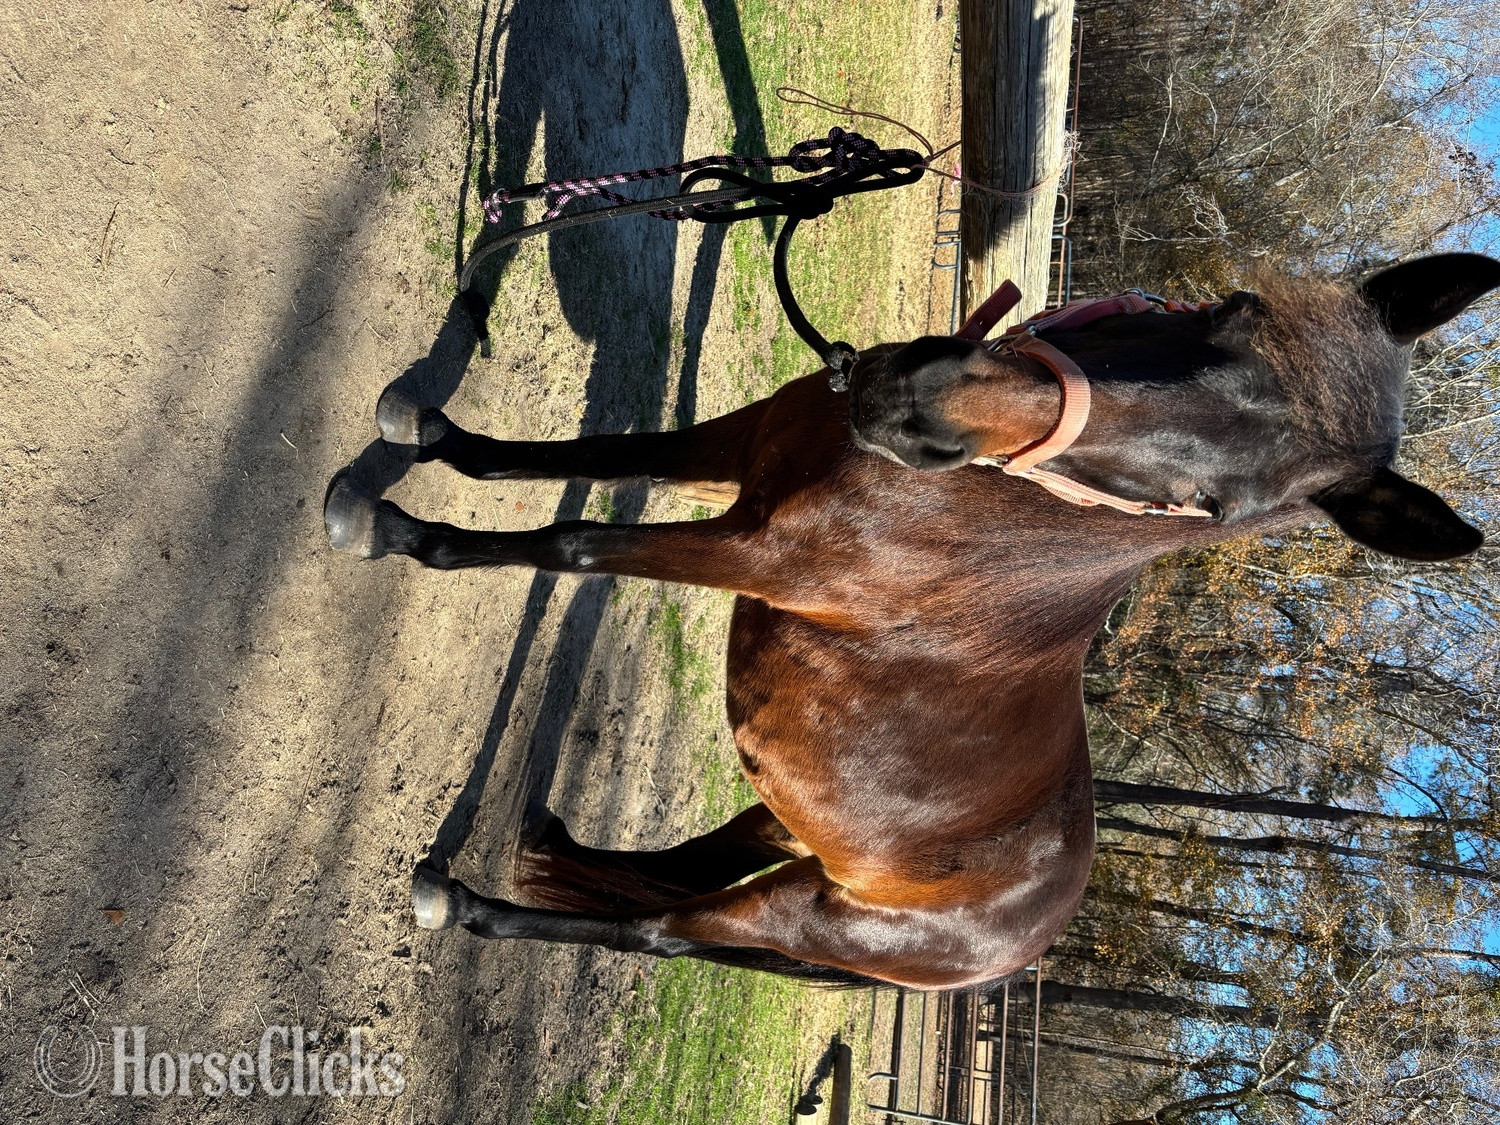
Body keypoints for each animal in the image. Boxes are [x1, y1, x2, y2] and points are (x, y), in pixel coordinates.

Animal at [324, 252, 1495, 988]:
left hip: (812, 912)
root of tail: (1024, 938)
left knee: (661, 929)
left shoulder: (760, 552)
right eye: (1224, 311)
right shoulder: (737, 448)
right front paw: (429, 430)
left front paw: (392, 526)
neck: (980, 504)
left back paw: (462, 902)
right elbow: (588, 455)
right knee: (673, 878)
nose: (917, 399)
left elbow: (567, 542)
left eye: (1211, 509)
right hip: (797, 827)